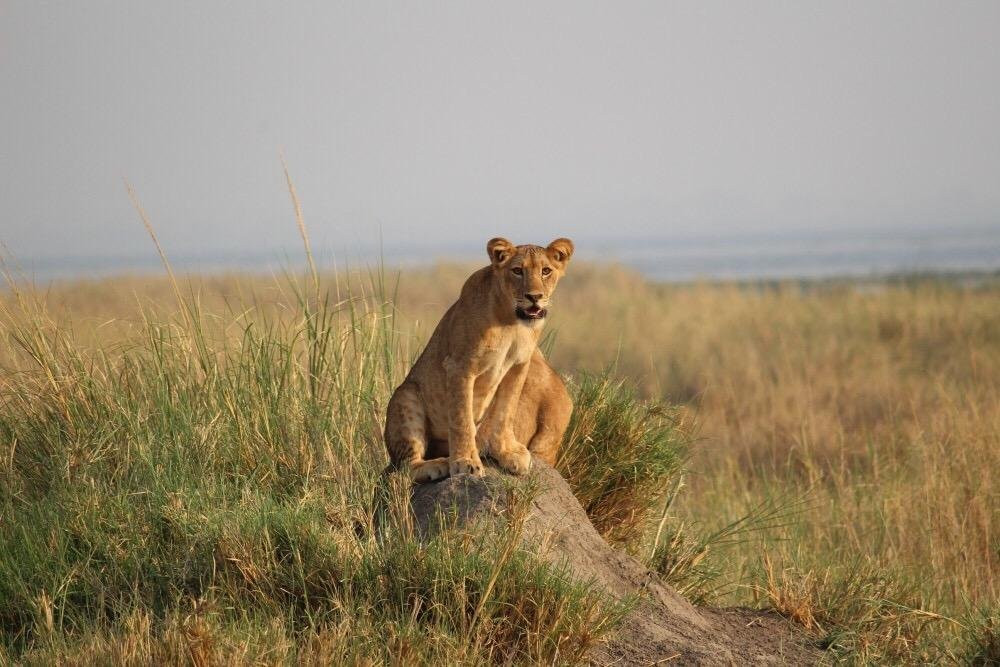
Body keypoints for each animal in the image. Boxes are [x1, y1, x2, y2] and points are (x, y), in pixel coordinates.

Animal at [384, 237, 576, 482]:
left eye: (546, 271)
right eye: (517, 271)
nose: (535, 297)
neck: (511, 321)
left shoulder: (519, 366)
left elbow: (506, 411)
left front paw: (507, 452)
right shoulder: (459, 366)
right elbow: (461, 418)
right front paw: (465, 462)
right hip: (406, 397)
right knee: (405, 467)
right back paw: (439, 464)